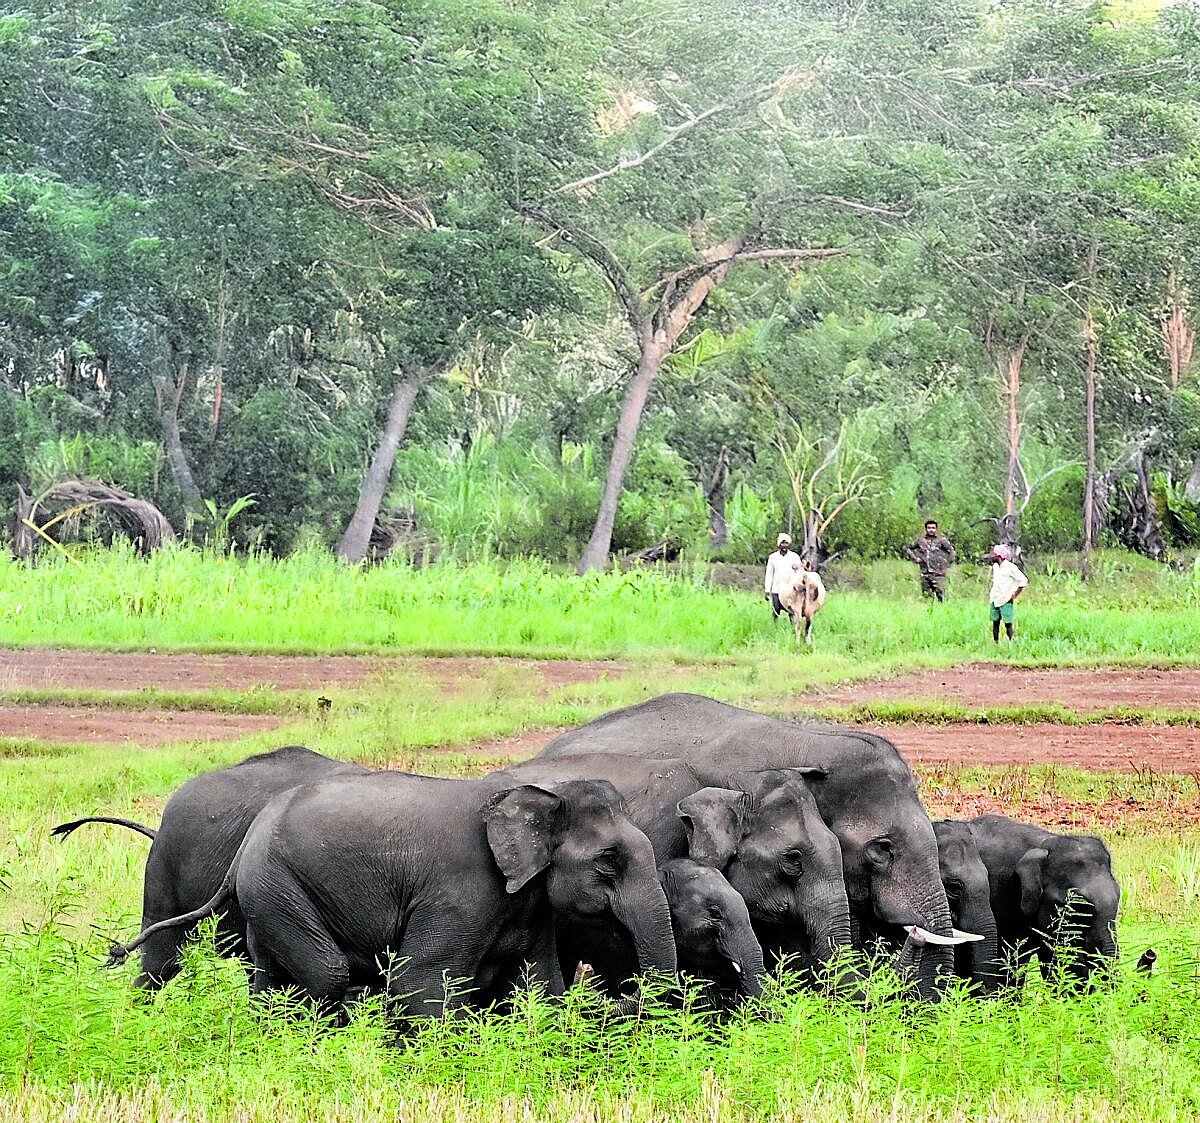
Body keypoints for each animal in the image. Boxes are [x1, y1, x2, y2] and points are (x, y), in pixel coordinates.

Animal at [110, 773, 678, 1017]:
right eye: (609, 861)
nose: (617, 998)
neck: (542, 790)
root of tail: (251, 838)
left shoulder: (529, 903)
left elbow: (541, 985)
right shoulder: (459, 891)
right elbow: (419, 980)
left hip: (270, 894)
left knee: (270, 973)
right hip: (278, 885)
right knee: (327, 973)